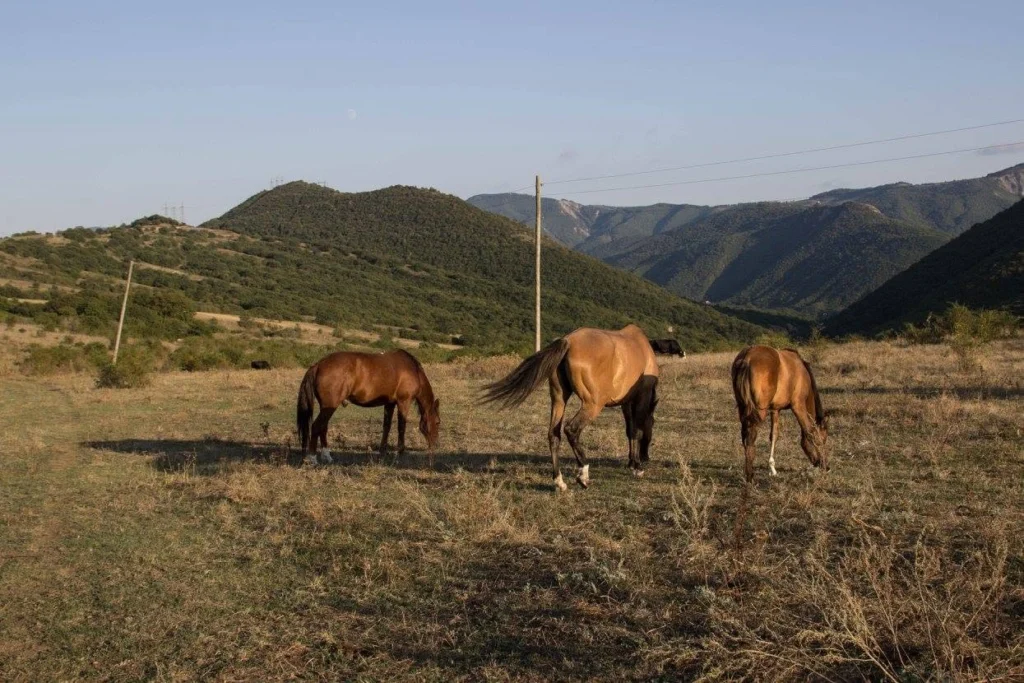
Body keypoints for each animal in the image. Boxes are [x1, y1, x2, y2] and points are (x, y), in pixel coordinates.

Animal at [296, 349, 440, 466]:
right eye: (438, 422)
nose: (436, 445)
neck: (413, 370)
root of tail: (319, 364)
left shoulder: (389, 404)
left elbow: (386, 426)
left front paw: (382, 452)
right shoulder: (403, 402)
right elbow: (401, 427)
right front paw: (399, 453)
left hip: (326, 407)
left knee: (323, 428)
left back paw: (327, 456)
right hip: (329, 406)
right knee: (316, 426)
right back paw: (313, 458)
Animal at [481, 324, 659, 491]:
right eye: (653, 423)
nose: (646, 457)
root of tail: (568, 341)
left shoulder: (626, 402)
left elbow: (630, 430)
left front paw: (631, 462)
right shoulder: (642, 397)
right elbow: (637, 431)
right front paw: (637, 467)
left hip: (559, 399)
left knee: (554, 435)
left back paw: (559, 481)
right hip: (592, 404)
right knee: (571, 430)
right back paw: (583, 475)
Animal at [731, 345, 828, 482]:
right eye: (823, 440)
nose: (825, 465)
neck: (802, 370)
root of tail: (747, 358)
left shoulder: (775, 409)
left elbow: (774, 435)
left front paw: (772, 468)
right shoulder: (798, 405)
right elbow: (809, 431)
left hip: (742, 408)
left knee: (745, 437)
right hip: (759, 410)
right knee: (750, 437)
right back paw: (750, 477)